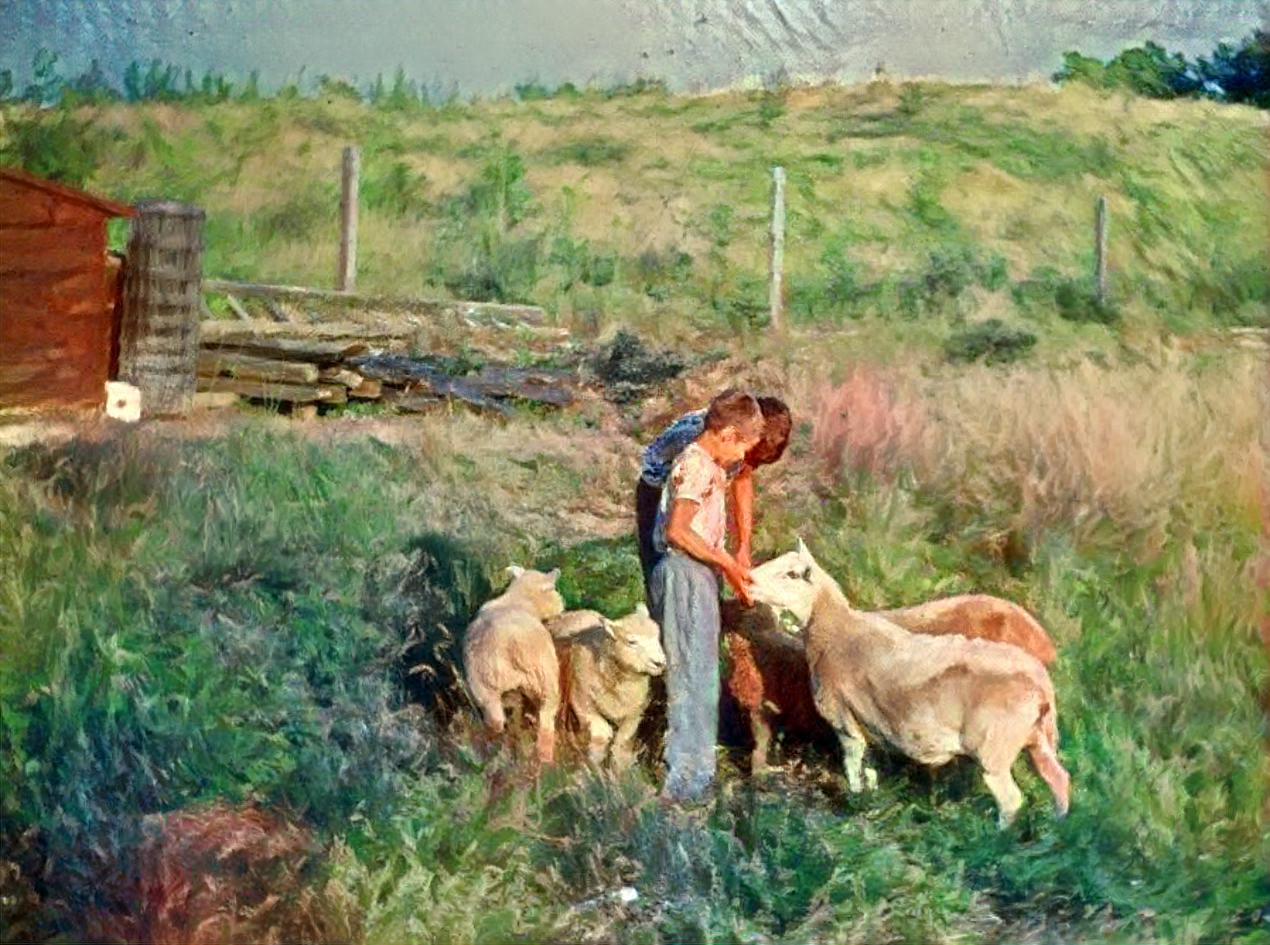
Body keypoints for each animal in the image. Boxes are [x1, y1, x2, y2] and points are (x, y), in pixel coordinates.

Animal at [462, 563, 566, 762]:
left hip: (481, 685)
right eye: (553, 589)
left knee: (495, 721)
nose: (562, 605)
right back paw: (545, 758)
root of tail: (509, 647)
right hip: (545, 676)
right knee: (546, 718)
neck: (519, 599)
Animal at [546, 604, 665, 767]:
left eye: (657, 636)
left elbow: (622, 741)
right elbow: (603, 733)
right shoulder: (581, 701)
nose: (659, 663)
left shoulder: (635, 712)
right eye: (632, 642)